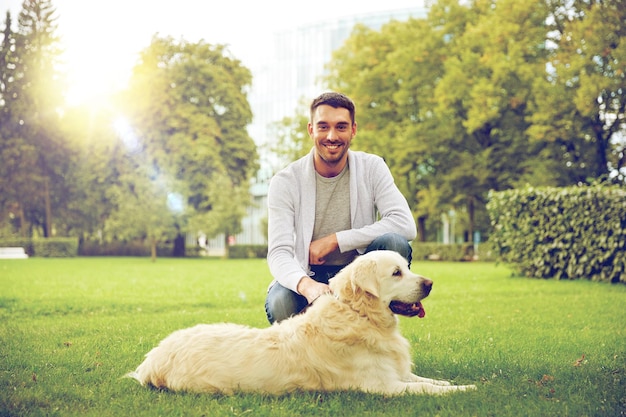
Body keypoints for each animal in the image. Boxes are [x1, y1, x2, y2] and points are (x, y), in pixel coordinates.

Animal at [129, 249, 476, 394]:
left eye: (407, 267)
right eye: (396, 273)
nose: (430, 283)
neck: (359, 315)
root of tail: (152, 359)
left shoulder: (396, 373)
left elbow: (426, 380)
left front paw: (452, 382)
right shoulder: (383, 386)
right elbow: (426, 389)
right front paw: (466, 389)